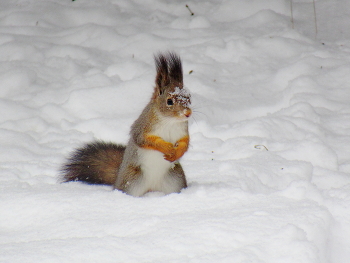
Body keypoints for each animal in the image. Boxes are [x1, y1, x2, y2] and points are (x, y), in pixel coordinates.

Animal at [60, 53, 191, 198]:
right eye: (169, 101)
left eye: (189, 97)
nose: (188, 113)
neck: (169, 121)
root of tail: (151, 189)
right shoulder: (142, 127)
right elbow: (145, 140)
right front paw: (166, 147)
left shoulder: (183, 130)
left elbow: (184, 143)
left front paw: (178, 152)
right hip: (132, 181)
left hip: (175, 179)